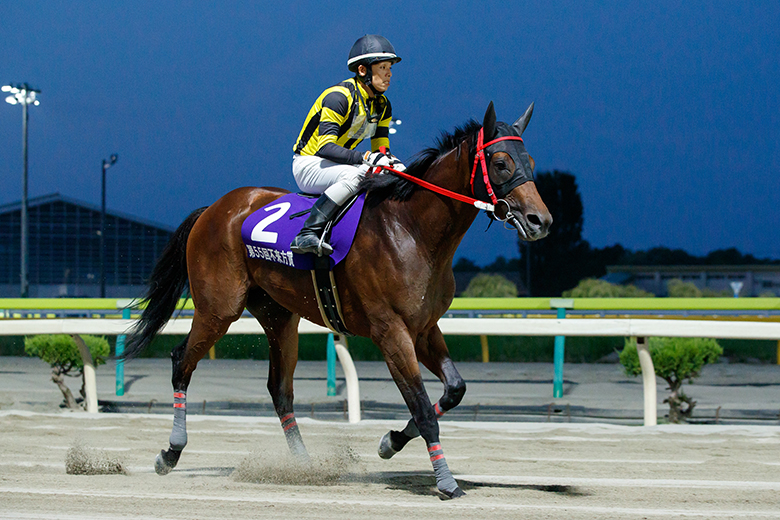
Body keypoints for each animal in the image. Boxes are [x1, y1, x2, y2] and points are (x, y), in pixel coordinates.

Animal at [124, 101, 552, 499]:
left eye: (530, 161)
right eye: (500, 162)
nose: (540, 221)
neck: (412, 231)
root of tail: (213, 209)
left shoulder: (424, 328)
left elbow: (453, 390)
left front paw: (390, 442)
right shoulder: (390, 331)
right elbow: (422, 407)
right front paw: (446, 482)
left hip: (279, 316)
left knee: (280, 390)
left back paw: (304, 467)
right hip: (219, 309)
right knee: (182, 362)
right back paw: (170, 453)